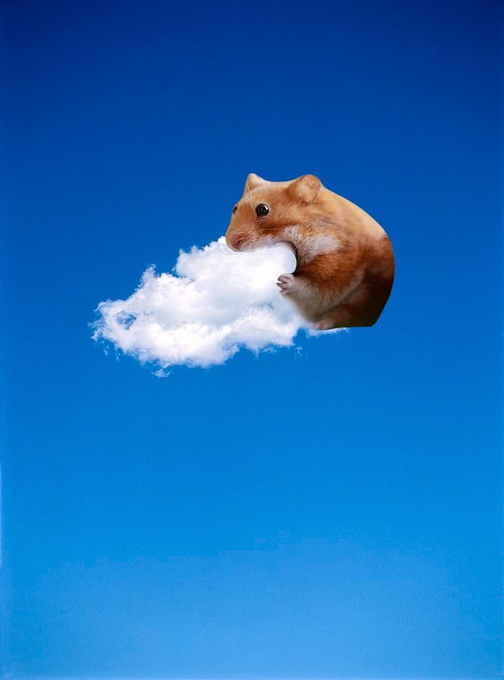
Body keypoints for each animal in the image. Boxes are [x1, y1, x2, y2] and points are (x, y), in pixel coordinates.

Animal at [225, 173, 395, 330]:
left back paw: (318, 325)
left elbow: (314, 290)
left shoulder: (339, 270)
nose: (231, 243)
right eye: (234, 209)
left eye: (262, 209)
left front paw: (284, 280)